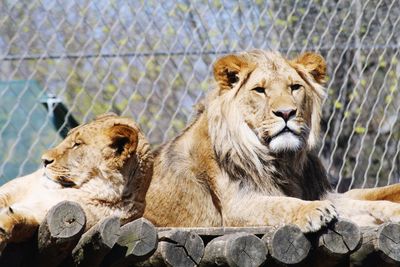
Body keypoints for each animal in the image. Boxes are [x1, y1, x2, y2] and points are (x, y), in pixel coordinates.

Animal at [145, 50, 400, 232]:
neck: (282, 161)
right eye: (260, 90)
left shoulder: (325, 193)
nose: (286, 112)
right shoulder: (236, 207)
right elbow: (281, 204)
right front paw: (312, 210)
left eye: (295, 87)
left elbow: (369, 204)